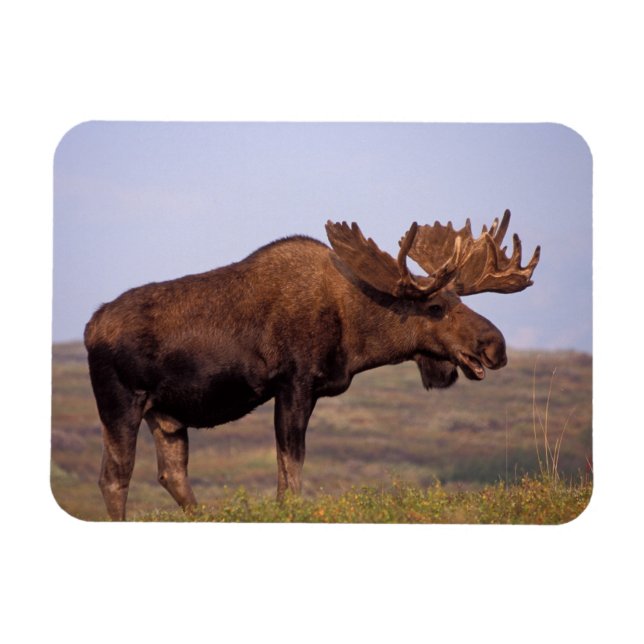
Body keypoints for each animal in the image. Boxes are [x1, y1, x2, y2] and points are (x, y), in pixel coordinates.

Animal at [84, 209, 540, 520]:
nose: (495, 346)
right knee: (114, 477)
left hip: (166, 416)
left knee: (172, 475)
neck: (355, 333)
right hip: (120, 403)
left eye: (460, 300)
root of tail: (90, 327)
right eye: (436, 307)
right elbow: (291, 469)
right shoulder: (294, 384)